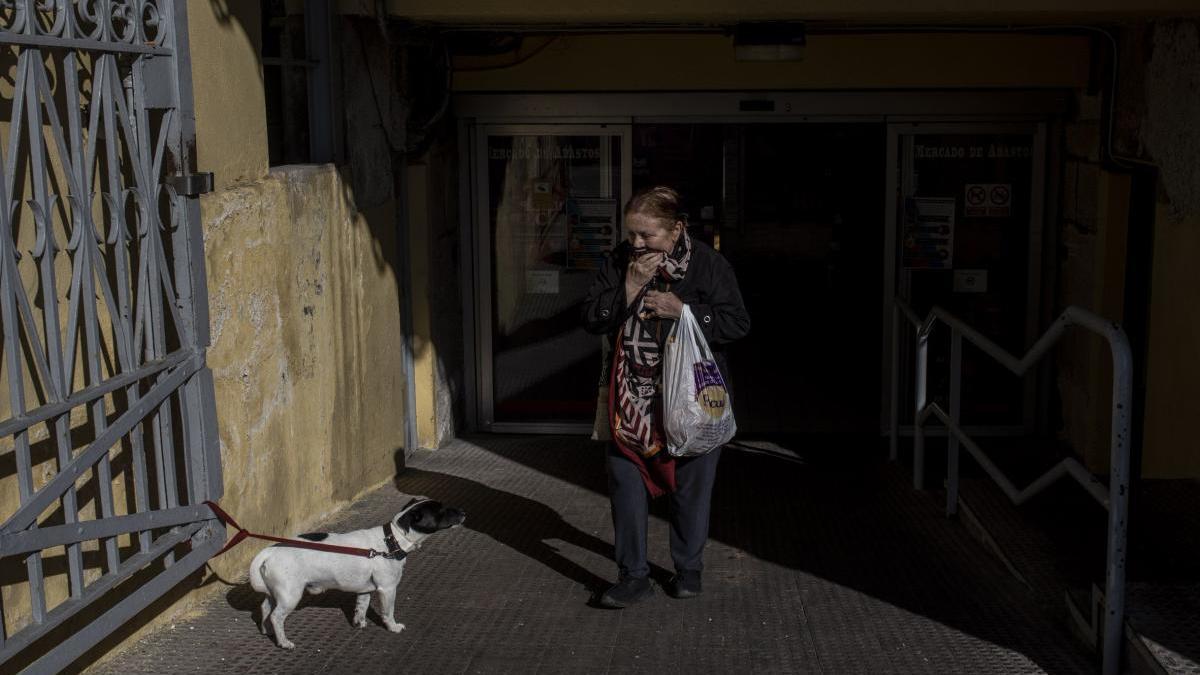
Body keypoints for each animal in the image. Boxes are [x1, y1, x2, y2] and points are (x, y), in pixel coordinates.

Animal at [248, 494, 463, 648]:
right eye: (441, 510)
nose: (462, 512)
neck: (391, 540)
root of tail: (269, 551)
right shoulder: (387, 589)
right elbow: (388, 612)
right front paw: (393, 627)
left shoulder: (365, 590)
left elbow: (361, 608)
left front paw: (359, 623)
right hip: (290, 595)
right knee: (276, 616)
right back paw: (284, 642)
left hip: (275, 593)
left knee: (265, 609)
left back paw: (267, 631)